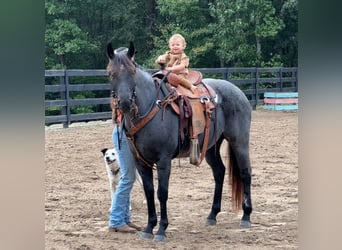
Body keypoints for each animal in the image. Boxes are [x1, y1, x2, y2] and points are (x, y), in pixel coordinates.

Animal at [105, 42, 252, 242]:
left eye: (132, 71)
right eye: (110, 73)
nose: (125, 103)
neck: (152, 107)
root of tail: (237, 91)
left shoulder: (164, 160)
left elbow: (162, 193)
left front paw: (161, 230)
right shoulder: (141, 162)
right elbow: (149, 192)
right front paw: (149, 228)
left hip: (239, 142)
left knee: (245, 173)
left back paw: (246, 216)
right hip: (210, 147)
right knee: (219, 172)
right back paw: (212, 215)